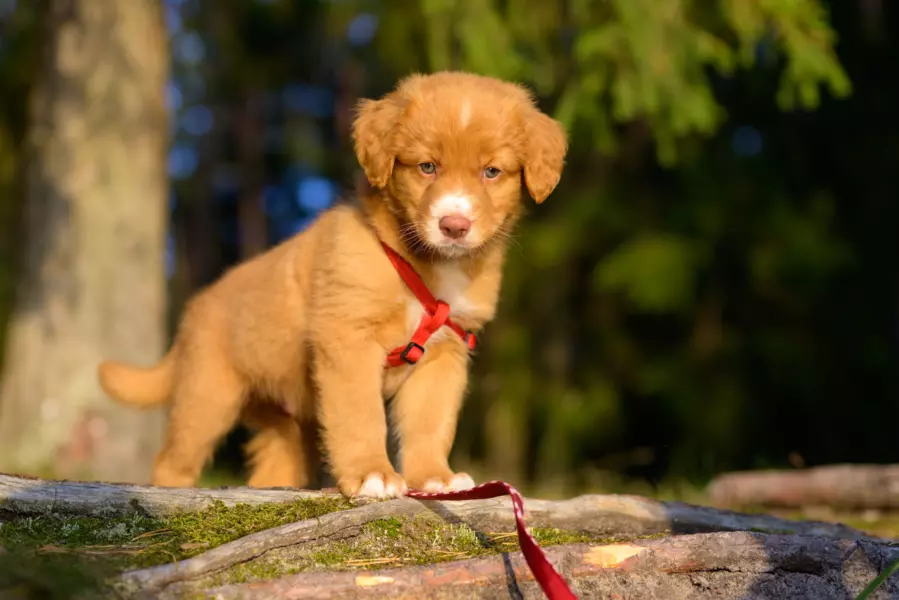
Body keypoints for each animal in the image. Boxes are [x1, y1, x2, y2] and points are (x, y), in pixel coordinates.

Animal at [98, 71, 568, 496]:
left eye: (492, 172)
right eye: (427, 167)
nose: (454, 225)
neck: (420, 264)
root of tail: (196, 308)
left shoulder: (444, 352)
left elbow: (431, 422)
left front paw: (434, 477)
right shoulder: (347, 338)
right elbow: (361, 416)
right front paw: (372, 474)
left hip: (284, 422)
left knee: (274, 465)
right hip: (208, 393)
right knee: (174, 459)